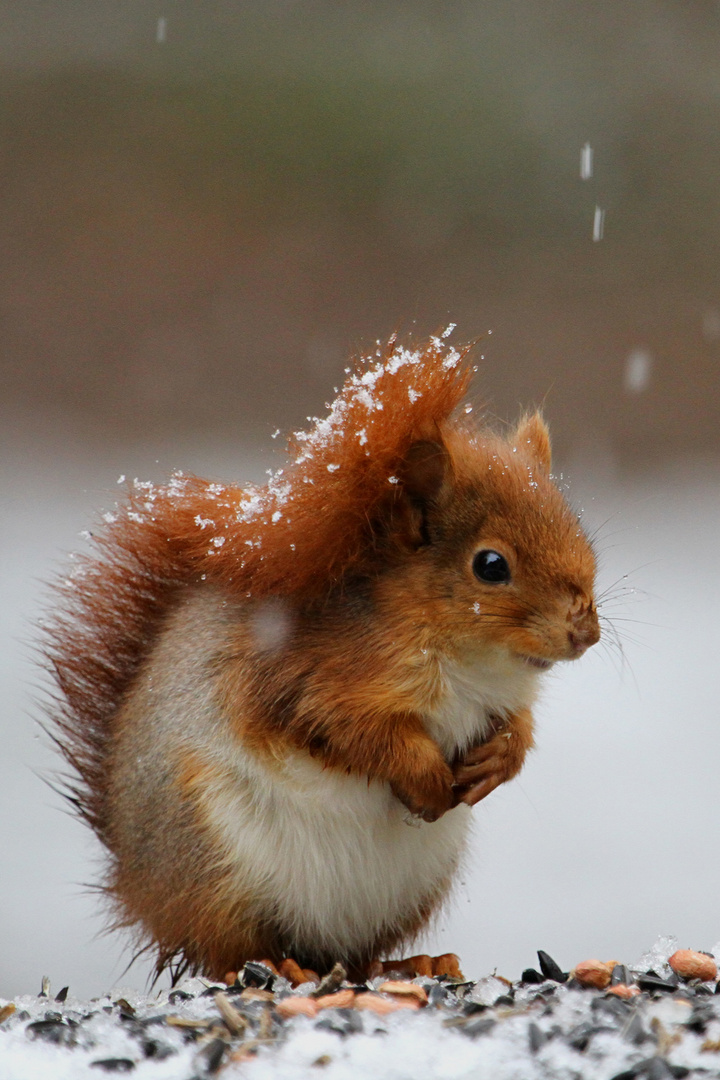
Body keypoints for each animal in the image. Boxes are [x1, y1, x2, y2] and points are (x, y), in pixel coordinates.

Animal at [43, 332, 595, 984]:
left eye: (576, 529)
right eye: (491, 566)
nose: (586, 632)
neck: (472, 664)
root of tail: (136, 891)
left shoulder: (502, 699)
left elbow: (516, 728)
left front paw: (498, 761)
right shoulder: (311, 674)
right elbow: (351, 732)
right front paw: (427, 778)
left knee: (355, 955)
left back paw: (408, 963)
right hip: (214, 868)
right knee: (224, 948)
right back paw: (279, 966)